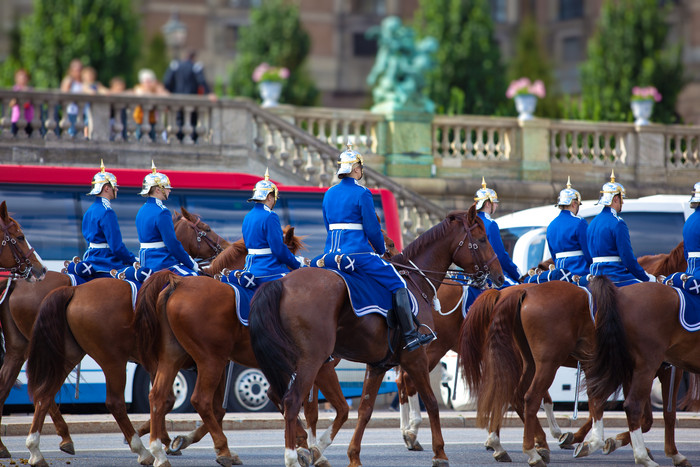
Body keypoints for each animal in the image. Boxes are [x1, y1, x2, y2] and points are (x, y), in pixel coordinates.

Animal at [21, 213, 230, 467]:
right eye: (206, 229)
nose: (224, 247)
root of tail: (74, 292)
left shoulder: (162, 361)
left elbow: (168, 399)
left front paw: (163, 437)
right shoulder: (206, 360)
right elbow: (201, 405)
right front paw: (166, 439)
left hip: (67, 354)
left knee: (44, 394)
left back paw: (39, 449)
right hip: (112, 360)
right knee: (114, 402)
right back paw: (141, 449)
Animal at [138, 229, 400, 466]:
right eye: (387, 244)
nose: (395, 255)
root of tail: (178, 283)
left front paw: (306, 446)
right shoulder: (317, 364)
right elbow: (308, 407)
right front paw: (307, 447)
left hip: (177, 356)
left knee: (159, 396)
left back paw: (157, 449)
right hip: (210, 360)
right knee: (198, 400)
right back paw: (220, 450)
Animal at [249, 207, 500, 467]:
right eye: (482, 239)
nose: (499, 276)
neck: (415, 282)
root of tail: (281, 283)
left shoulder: (379, 364)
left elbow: (365, 409)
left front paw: (351, 455)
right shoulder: (415, 357)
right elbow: (431, 402)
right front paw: (440, 453)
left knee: (287, 398)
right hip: (312, 361)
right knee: (292, 400)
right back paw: (292, 454)